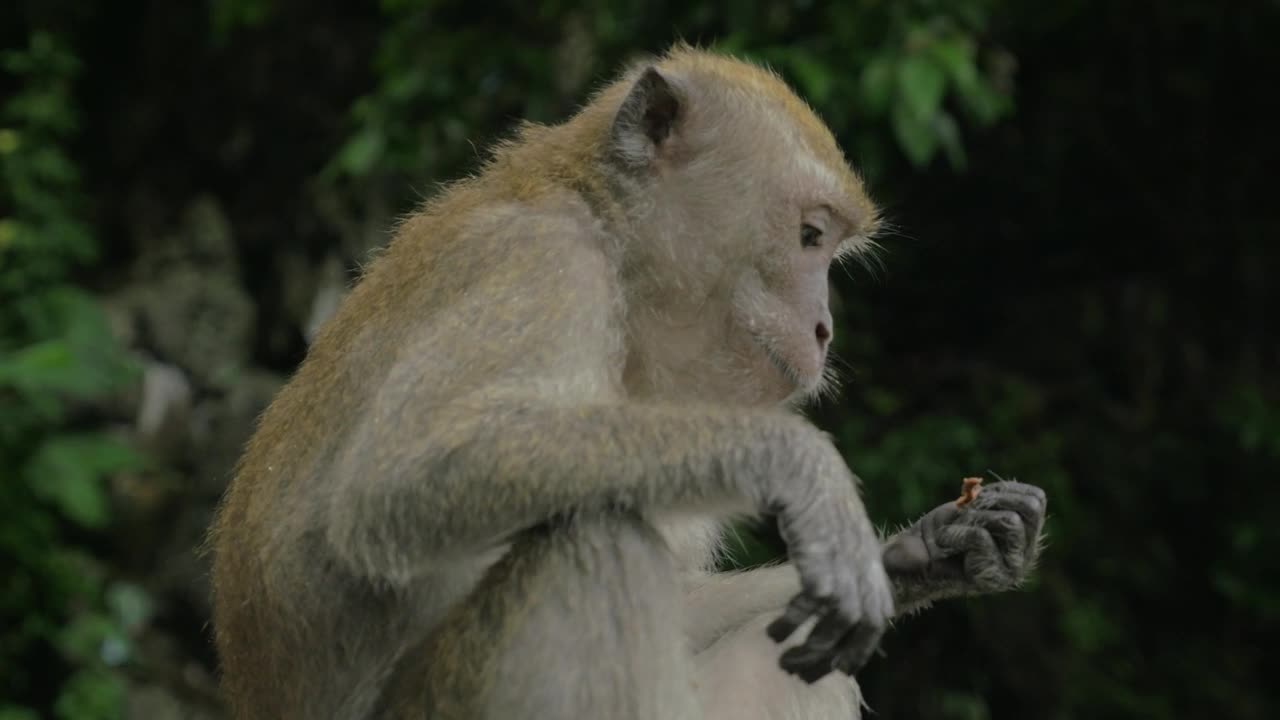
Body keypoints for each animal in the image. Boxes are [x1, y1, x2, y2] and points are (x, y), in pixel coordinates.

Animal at [209, 44, 1047, 720]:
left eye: (829, 248)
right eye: (809, 237)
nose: (823, 329)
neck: (615, 249)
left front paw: (927, 551)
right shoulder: (541, 264)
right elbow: (401, 478)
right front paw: (808, 471)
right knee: (594, 541)